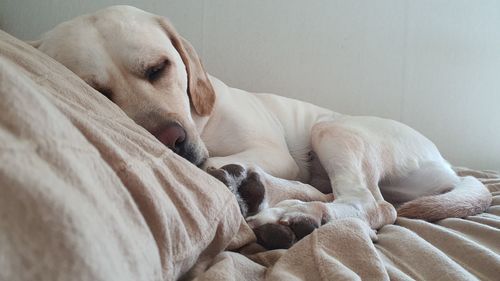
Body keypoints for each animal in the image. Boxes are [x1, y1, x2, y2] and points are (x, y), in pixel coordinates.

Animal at [32, 5, 492, 248]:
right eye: (97, 92)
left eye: (158, 68)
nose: (171, 139)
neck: (202, 121)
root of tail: (448, 168)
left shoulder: (272, 153)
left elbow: (225, 161)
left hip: (331, 130)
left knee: (373, 204)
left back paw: (295, 212)